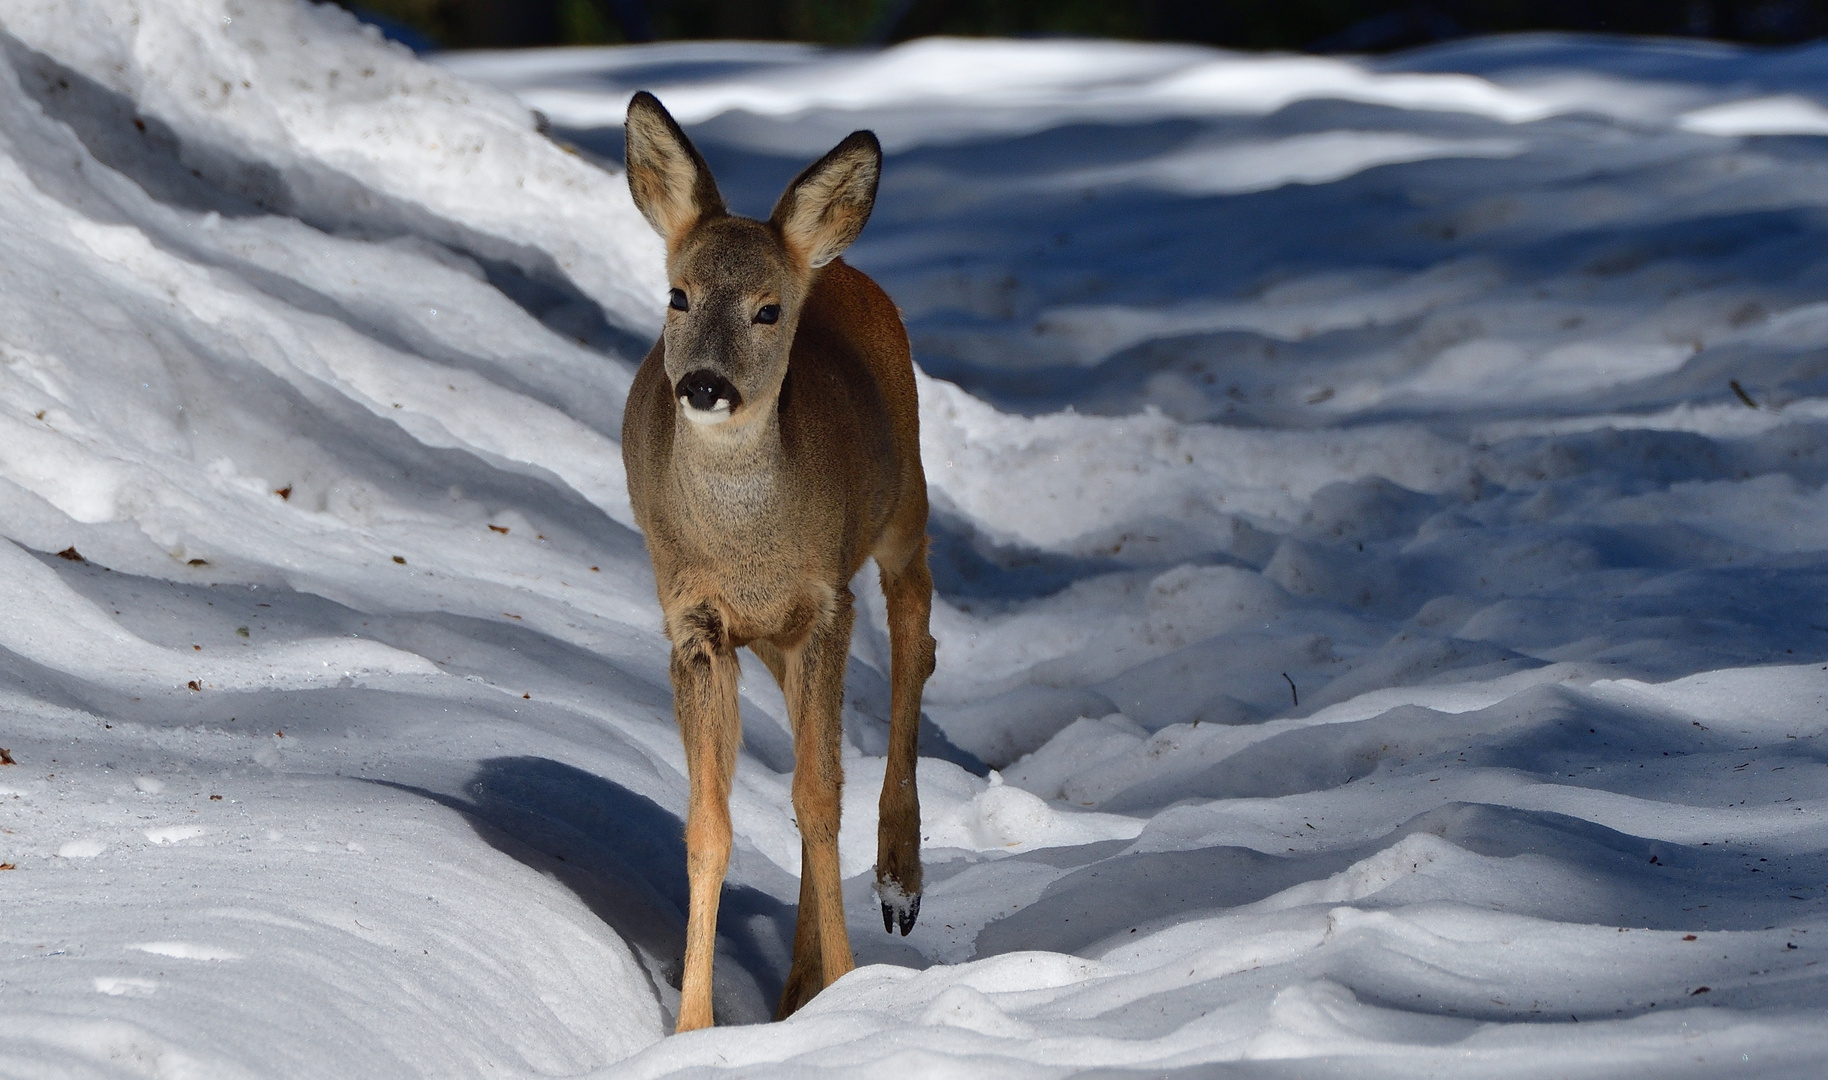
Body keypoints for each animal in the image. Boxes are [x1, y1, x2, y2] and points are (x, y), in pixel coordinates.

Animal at [621, 90, 935, 1030]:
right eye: (678, 295)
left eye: (767, 311)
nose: (704, 384)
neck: (748, 545)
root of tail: (834, 262)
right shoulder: (696, 622)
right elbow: (712, 822)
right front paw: (693, 1026)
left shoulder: (824, 602)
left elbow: (821, 799)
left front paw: (848, 989)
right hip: (769, 639)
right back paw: (797, 983)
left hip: (902, 499)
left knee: (916, 625)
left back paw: (899, 879)